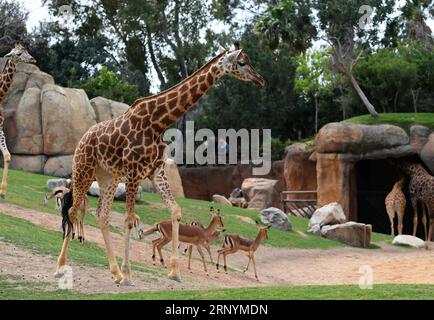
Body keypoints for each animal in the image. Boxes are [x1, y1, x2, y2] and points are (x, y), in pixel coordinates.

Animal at [54, 43, 264, 284]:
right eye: (242, 62)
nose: (260, 79)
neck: (158, 122)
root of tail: (82, 139)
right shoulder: (134, 171)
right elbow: (129, 219)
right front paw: (129, 274)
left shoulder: (156, 172)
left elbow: (175, 211)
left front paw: (175, 272)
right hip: (84, 170)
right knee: (72, 211)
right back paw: (61, 267)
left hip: (108, 176)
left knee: (102, 215)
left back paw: (115, 273)